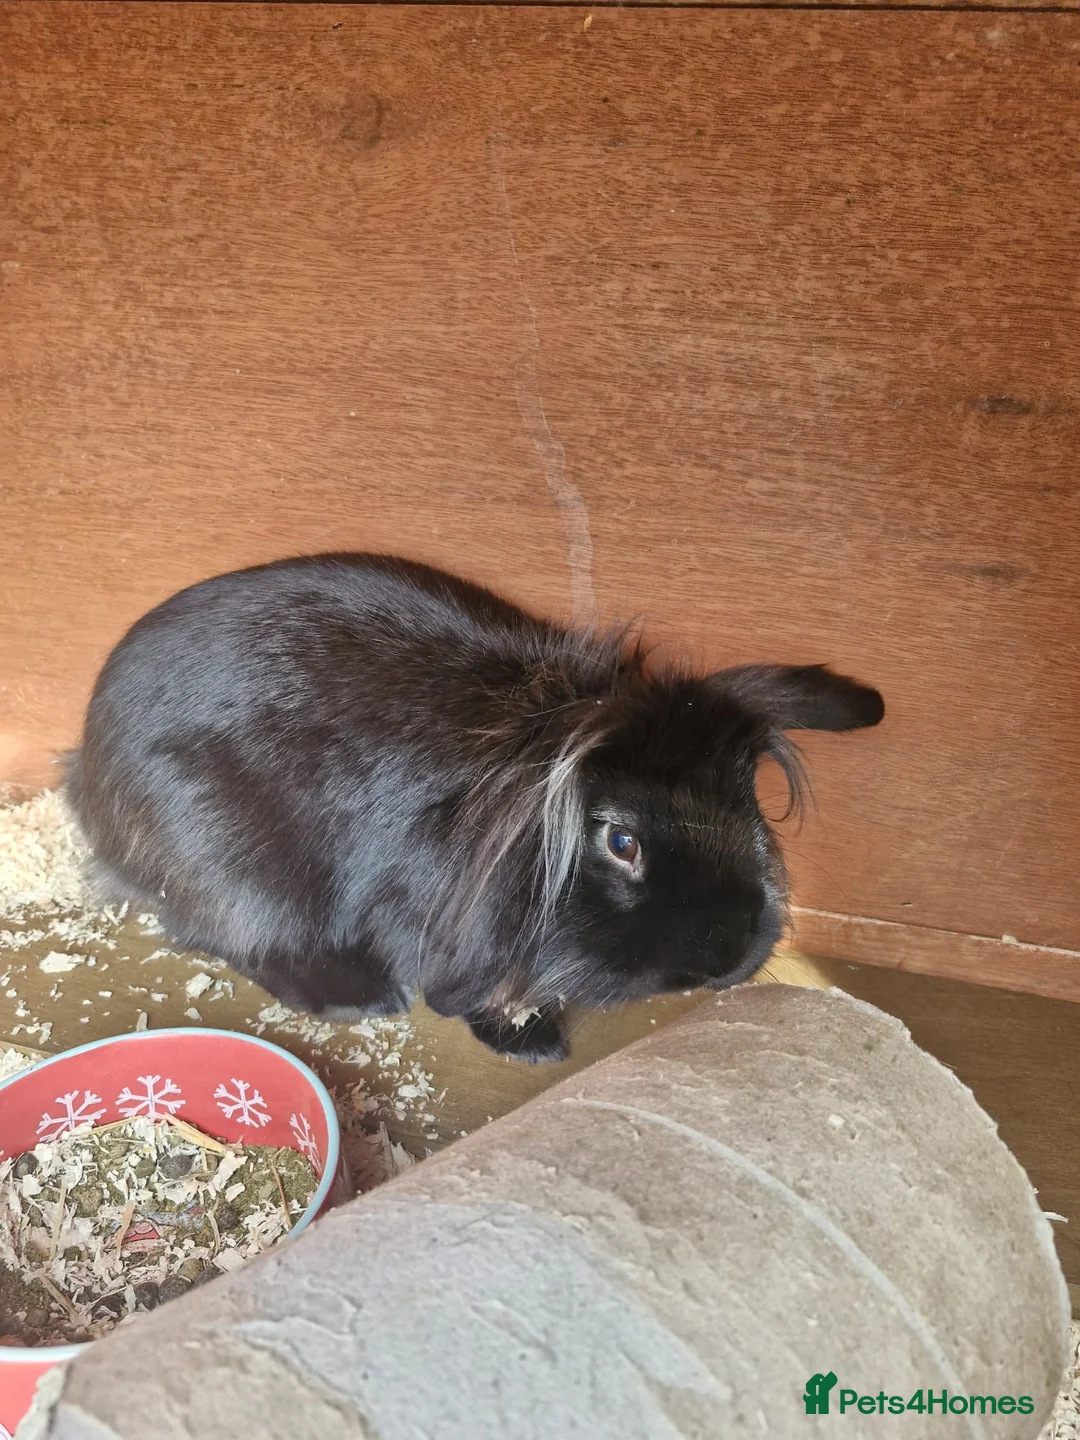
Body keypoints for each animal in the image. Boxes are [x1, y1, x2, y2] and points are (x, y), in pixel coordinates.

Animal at [65, 552, 884, 1063]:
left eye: (750, 802)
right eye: (621, 842)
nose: (729, 957)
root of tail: (89, 769)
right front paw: (534, 1045)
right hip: (239, 870)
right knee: (233, 939)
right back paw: (359, 1000)